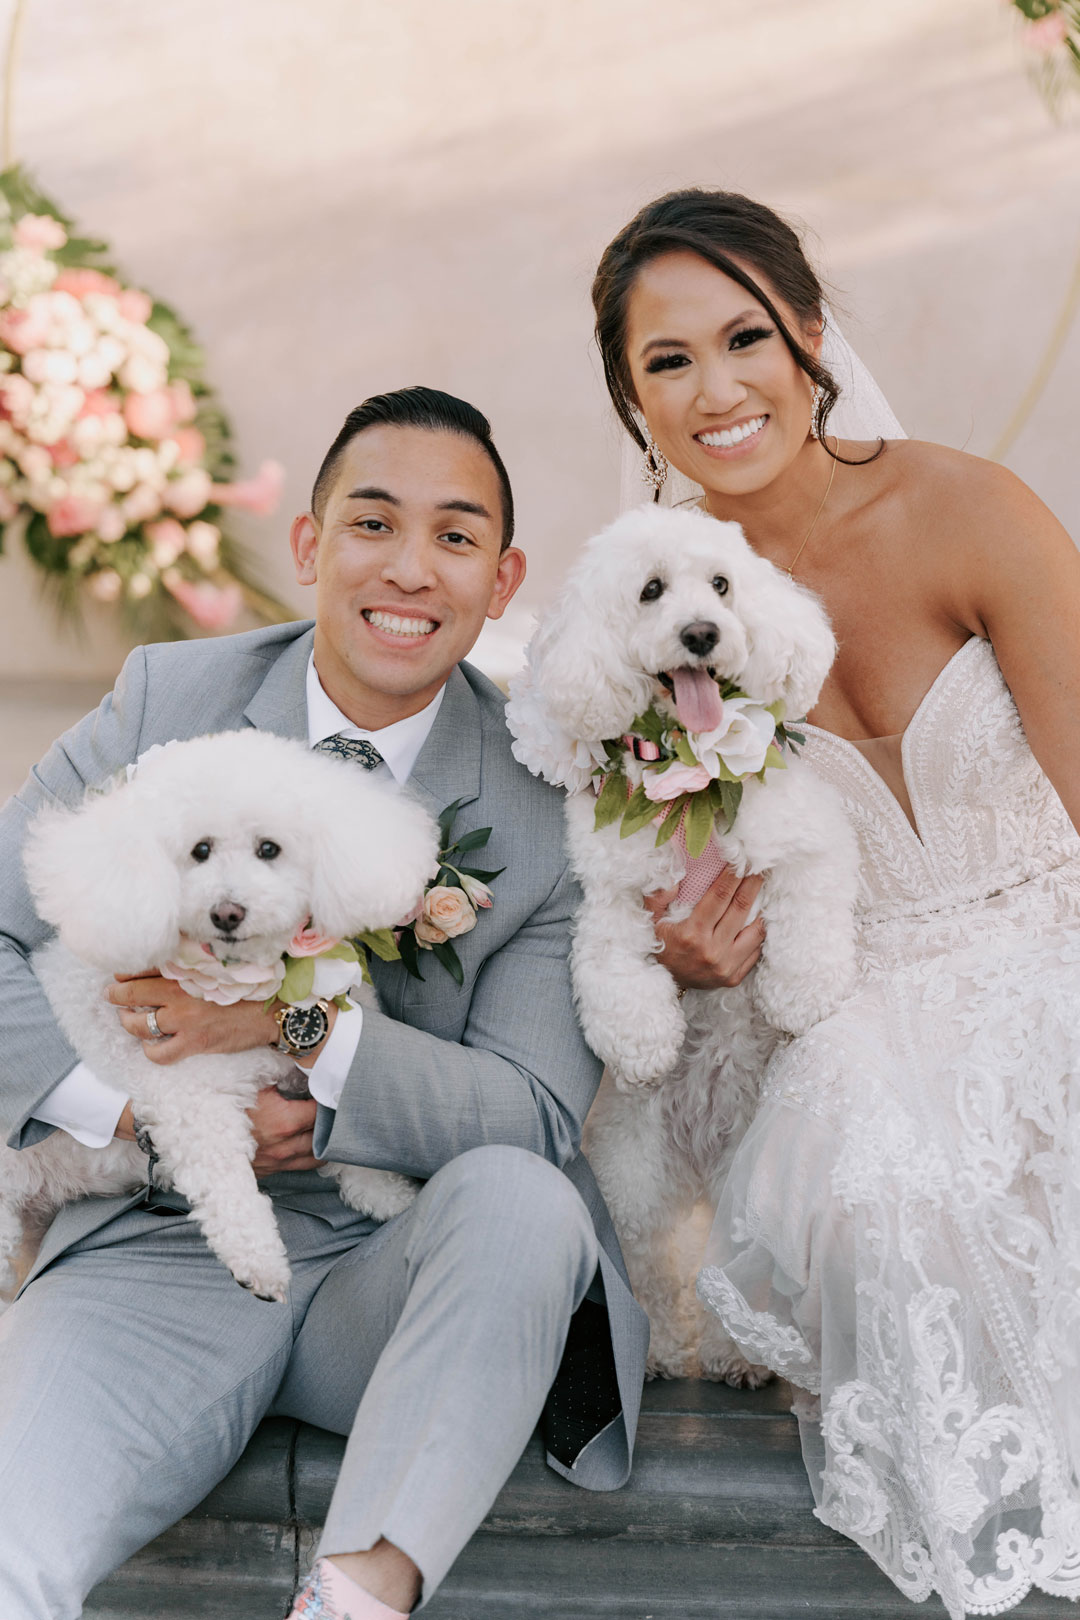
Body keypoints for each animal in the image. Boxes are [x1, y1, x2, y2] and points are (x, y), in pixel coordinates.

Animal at [1, 729, 438, 1306]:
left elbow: (346, 1119)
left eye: (269, 849)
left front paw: (386, 1194)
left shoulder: (314, 1064)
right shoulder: (192, 1101)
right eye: (200, 851)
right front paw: (259, 1262)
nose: (227, 912)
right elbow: (228, 1185)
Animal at [507, 504, 858, 1379]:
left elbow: (810, 911)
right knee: (655, 1269)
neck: (692, 788)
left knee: (733, 1276)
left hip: (744, 1180)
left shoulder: (809, 842)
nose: (702, 632)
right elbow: (614, 968)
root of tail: (701, 1161)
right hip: (633, 1172)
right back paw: (665, 1351)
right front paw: (643, 1039)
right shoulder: (606, 897)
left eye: (724, 585)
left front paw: (801, 991)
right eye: (651, 591)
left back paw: (743, 1359)